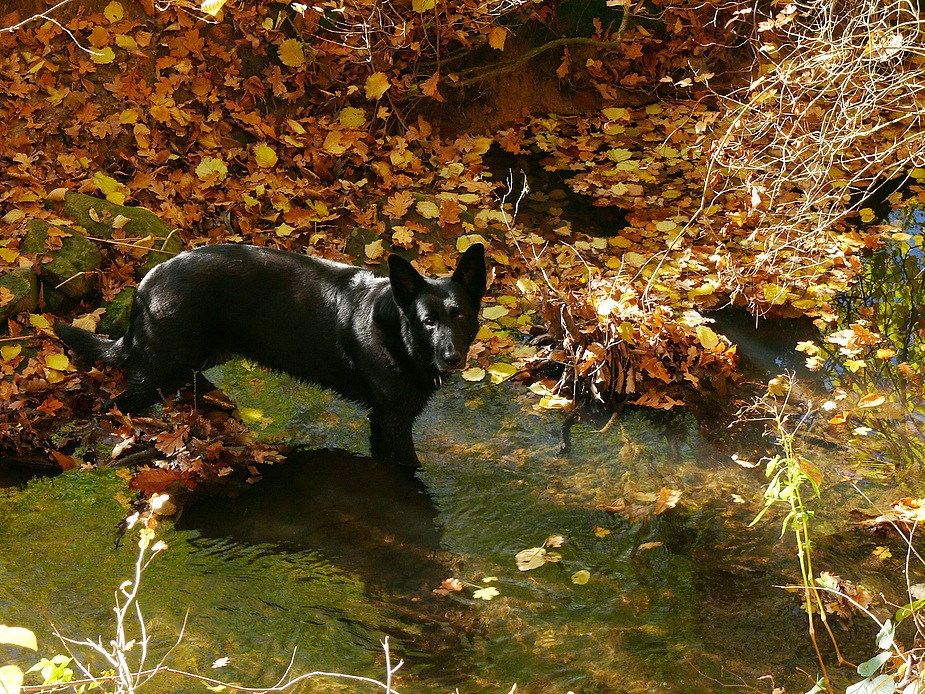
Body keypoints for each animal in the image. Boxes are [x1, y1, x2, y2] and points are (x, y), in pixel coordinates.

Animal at [54, 243, 488, 468]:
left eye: (461, 316)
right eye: (428, 321)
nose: (452, 357)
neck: (400, 336)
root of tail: (145, 285)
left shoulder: (382, 421)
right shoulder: (393, 420)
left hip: (194, 361)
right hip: (161, 368)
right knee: (112, 406)